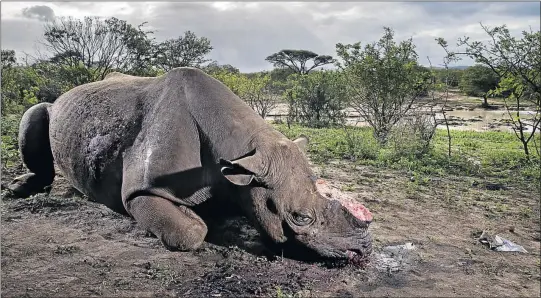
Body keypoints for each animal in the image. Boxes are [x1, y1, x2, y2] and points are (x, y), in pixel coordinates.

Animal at [6, 67, 372, 264]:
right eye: (300, 218)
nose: (362, 250)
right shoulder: (142, 190)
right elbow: (190, 232)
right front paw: (197, 219)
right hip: (54, 108)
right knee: (36, 111)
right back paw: (18, 189)